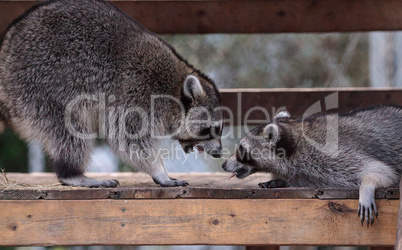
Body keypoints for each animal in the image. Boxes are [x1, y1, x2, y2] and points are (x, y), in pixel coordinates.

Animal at [0, 0, 223, 188]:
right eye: (211, 129)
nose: (219, 152)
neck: (173, 89)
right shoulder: (136, 93)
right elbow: (130, 139)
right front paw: (159, 171)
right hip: (40, 84)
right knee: (70, 130)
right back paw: (72, 173)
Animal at [223, 105, 402, 227]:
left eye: (241, 148)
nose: (224, 164)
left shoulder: (332, 153)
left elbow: (381, 171)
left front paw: (367, 185)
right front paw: (280, 180)